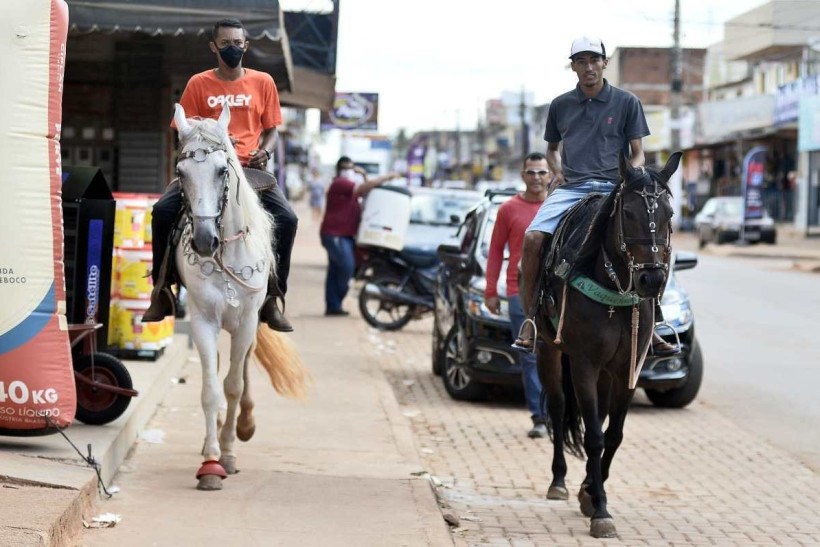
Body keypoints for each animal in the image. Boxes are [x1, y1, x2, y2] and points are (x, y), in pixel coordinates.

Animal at [171, 103, 310, 492]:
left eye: (222, 170)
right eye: (180, 172)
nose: (204, 241)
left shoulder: (247, 319)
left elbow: (233, 386)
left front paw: (229, 453)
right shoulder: (203, 320)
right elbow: (210, 389)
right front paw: (210, 460)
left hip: (249, 322)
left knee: (243, 367)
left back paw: (244, 425)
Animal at [536, 152, 684, 536]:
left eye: (670, 214)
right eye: (627, 212)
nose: (651, 279)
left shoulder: (628, 367)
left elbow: (612, 433)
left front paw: (591, 491)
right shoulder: (584, 364)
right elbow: (594, 436)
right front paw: (600, 508)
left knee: (598, 415)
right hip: (548, 350)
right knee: (558, 407)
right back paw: (558, 481)